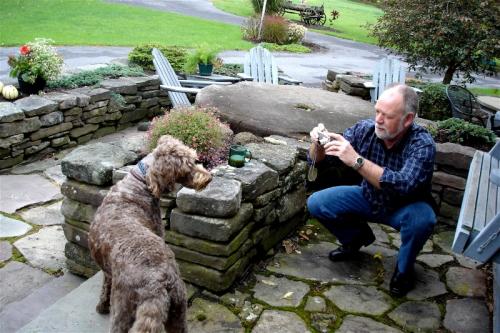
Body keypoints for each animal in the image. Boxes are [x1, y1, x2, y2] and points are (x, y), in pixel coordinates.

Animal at [89, 135, 212, 332]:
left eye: (195, 159)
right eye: (188, 166)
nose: (209, 177)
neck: (139, 182)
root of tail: (158, 284)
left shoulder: (108, 273)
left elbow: (105, 285)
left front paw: (101, 306)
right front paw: (101, 306)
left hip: (124, 312)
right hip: (177, 312)